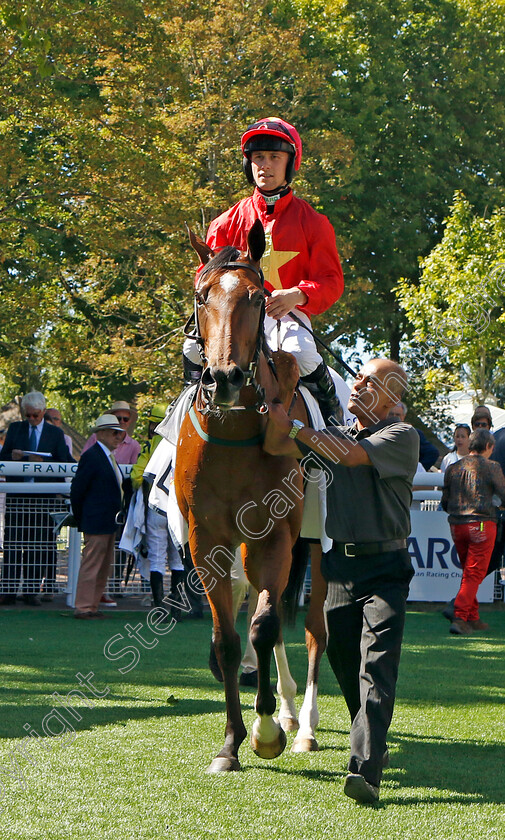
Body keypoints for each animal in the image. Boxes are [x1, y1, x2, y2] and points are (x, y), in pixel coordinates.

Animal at [173, 220, 324, 772]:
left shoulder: (276, 536)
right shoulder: (208, 542)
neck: (234, 429)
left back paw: (303, 725)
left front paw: (264, 733)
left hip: (314, 547)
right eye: (202, 297)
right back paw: (286, 711)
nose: (224, 377)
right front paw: (231, 742)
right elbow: (230, 639)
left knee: (309, 627)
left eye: (259, 298)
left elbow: (263, 626)